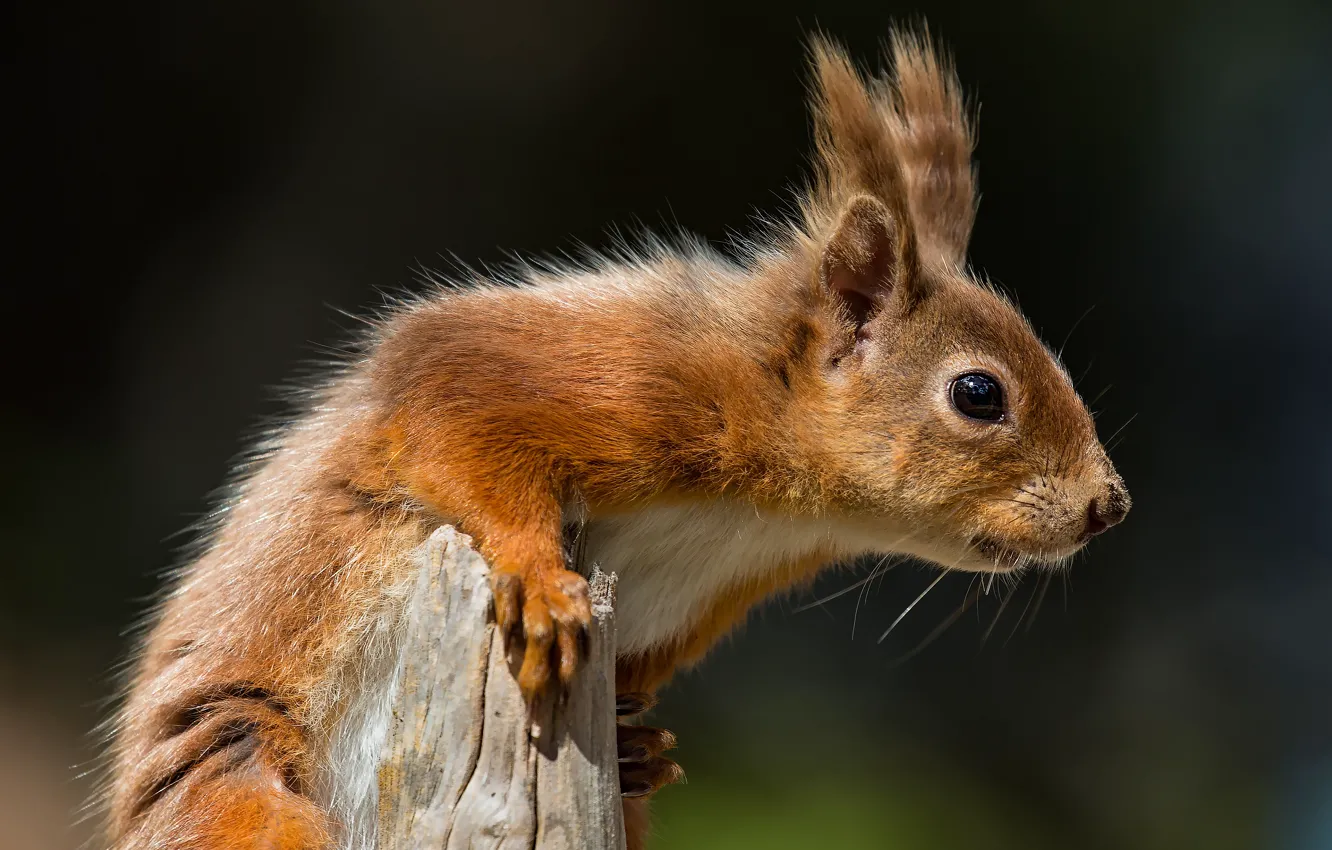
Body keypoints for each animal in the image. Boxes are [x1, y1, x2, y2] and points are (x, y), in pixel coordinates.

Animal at [103, 29, 1129, 850]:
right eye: (978, 395)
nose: (1108, 505)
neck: (760, 517)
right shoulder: (612, 377)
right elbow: (451, 419)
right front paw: (540, 583)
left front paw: (643, 749)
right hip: (231, 781)